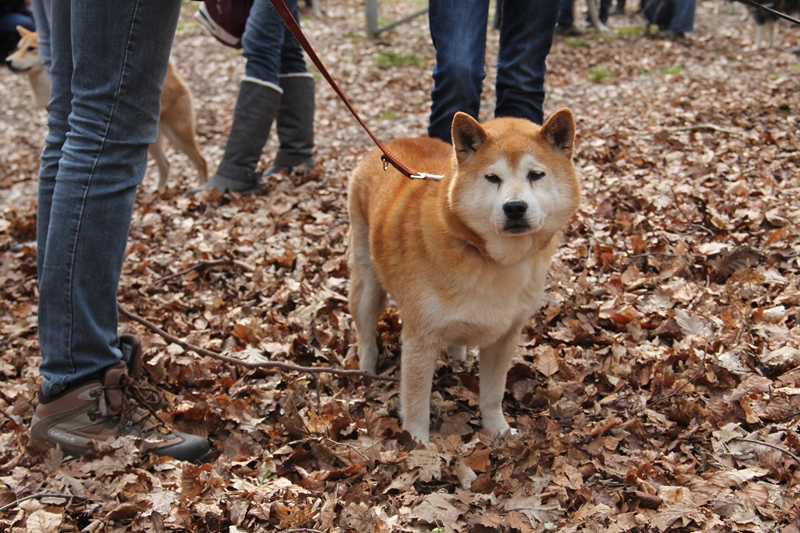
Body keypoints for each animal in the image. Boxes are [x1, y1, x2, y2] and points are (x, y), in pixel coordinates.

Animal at [6, 27, 206, 190]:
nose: (7, 61)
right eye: (18, 47)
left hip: (176, 132)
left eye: (31, 49)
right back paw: (158, 193)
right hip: (148, 141)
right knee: (165, 165)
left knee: (201, 161)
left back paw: (201, 191)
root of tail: (170, 72)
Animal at [350, 107, 580, 440]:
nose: (515, 207)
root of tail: (388, 145)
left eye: (535, 175)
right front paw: (418, 443)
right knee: (366, 335)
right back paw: (367, 371)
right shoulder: (420, 340)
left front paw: (498, 430)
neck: (493, 261)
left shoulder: (506, 336)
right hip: (368, 287)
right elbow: (416, 404)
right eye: (492, 178)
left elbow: (492, 394)